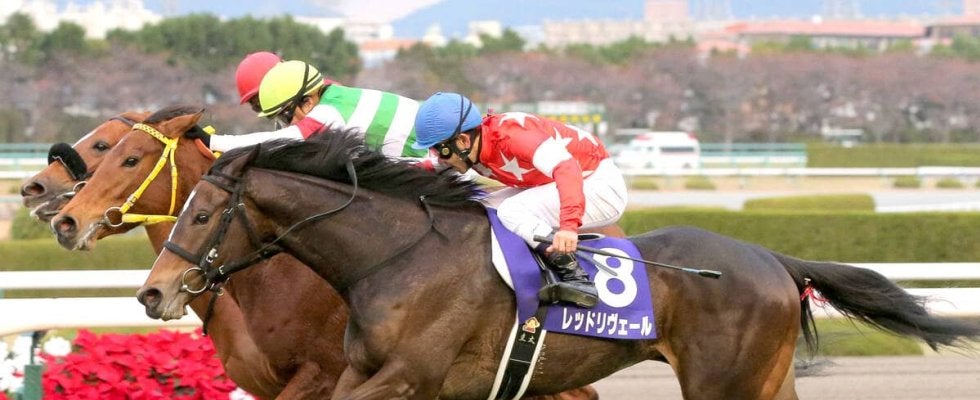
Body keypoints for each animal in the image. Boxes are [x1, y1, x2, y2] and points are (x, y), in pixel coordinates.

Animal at [139, 129, 980, 400]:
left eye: (203, 215)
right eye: (181, 211)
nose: (151, 293)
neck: (396, 257)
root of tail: (773, 255)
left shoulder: (407, 377)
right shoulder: (364, 375)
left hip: (723, 382)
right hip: (764, 380)